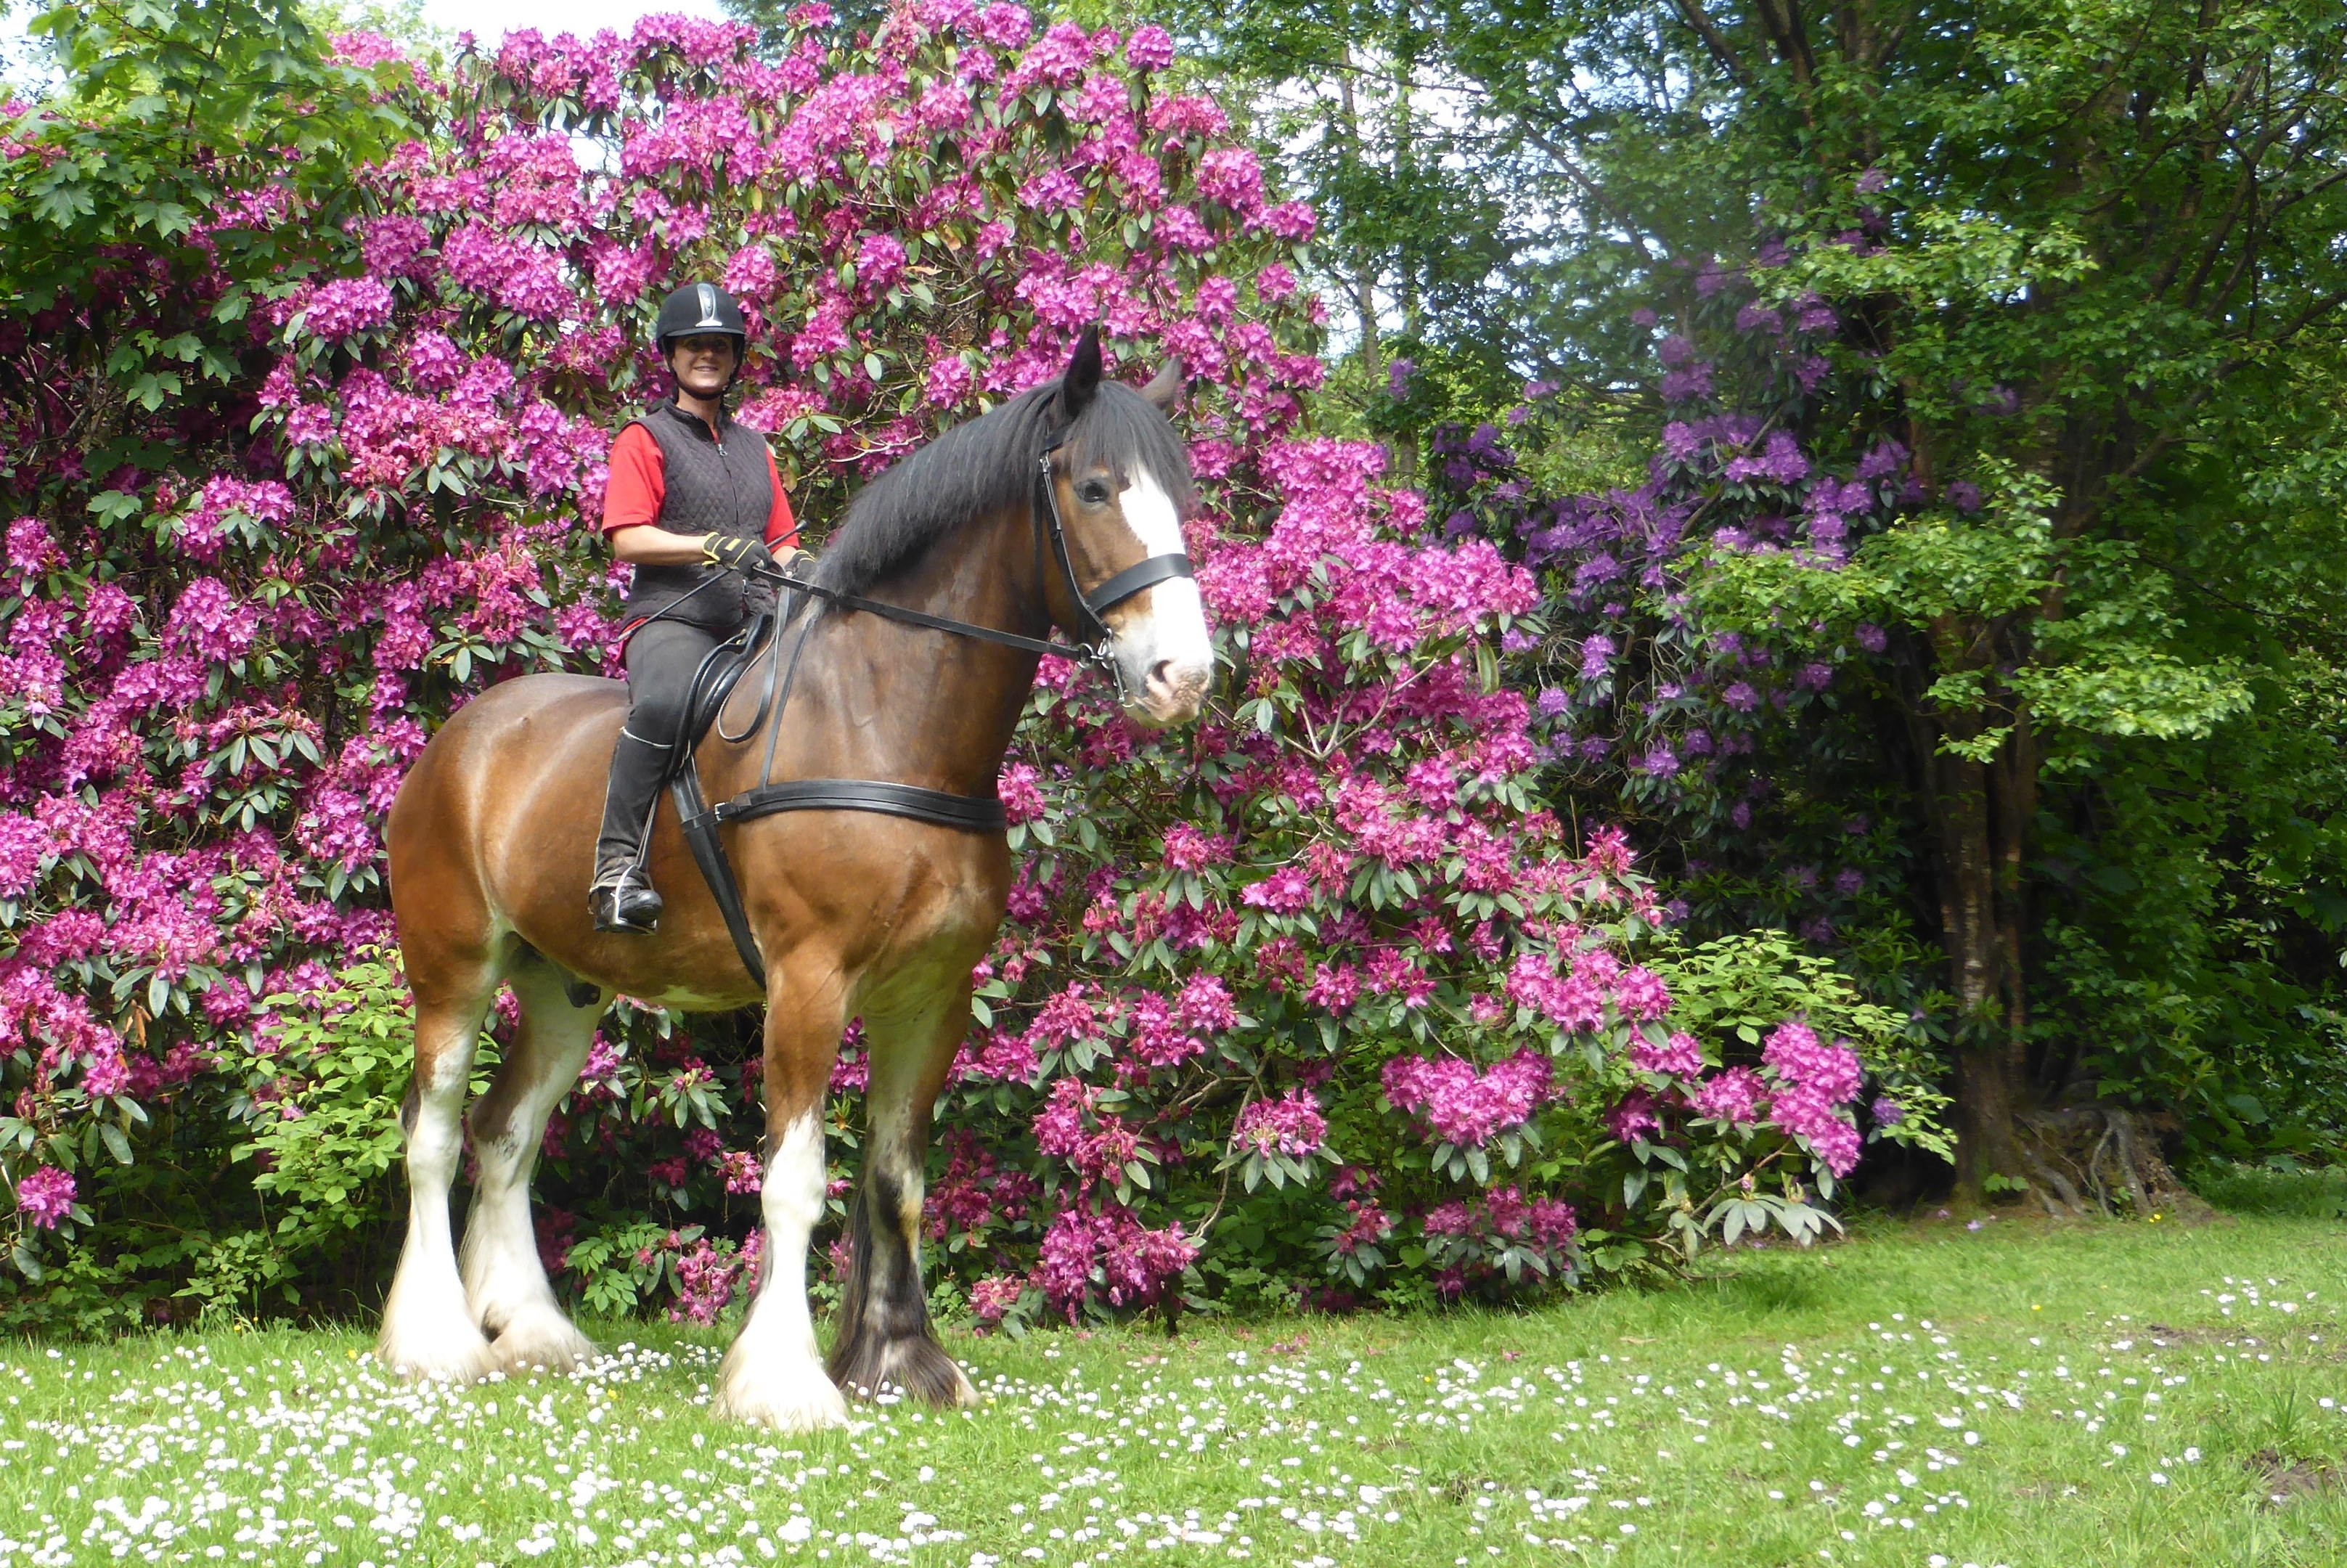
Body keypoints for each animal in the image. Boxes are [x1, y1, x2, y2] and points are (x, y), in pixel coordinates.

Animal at [377, 333, 1211, 1436]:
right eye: (1095, 489)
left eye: (1180, 496)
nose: (1181, 678)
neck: (881, 721)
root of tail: (456, 746)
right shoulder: (808, 985)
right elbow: (794, 1185)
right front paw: (783, 1381)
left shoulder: (928, 999)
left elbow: (895, 1179)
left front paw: (901, 1363)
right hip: (452, 973)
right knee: (433, 1135)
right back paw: (434, 1340)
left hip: (562, 988)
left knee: (505, 1133)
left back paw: (529, 1331)